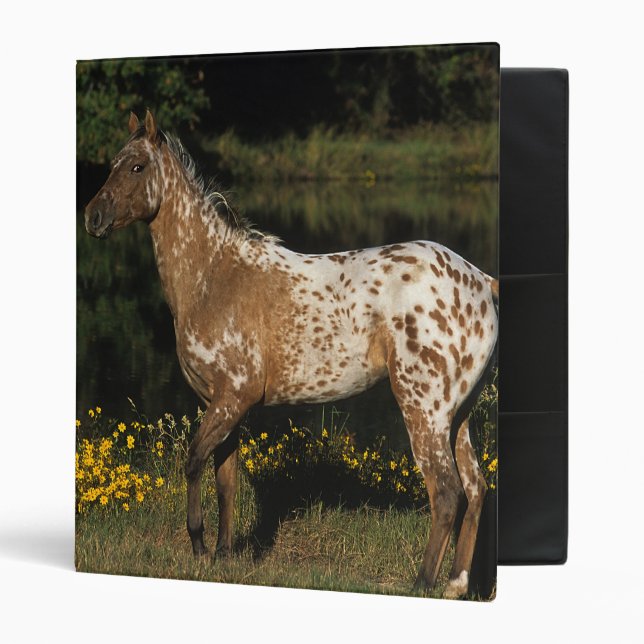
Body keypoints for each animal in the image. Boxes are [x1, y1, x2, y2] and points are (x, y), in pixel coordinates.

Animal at [84, 110, 498, 599]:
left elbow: (193, 461)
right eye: (112, 163)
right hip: (459, 415)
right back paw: (455, 583)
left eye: (137, 167)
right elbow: (226, 479)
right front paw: (224, 555)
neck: (213, 276)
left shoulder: (232, 399)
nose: (93, 217)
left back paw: (422, 582)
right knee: (475, 488)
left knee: (447, 492)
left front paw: (199, 546)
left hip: (425, 409)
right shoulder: (225, 405)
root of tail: (482, 281)